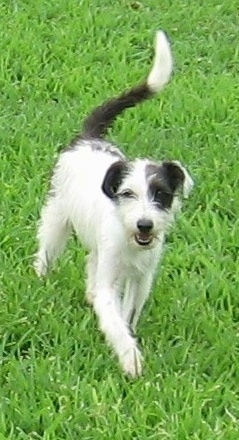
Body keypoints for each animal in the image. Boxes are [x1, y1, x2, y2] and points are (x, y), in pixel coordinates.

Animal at [34, 31, 194, 376]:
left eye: (161, 194)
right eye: (128, 194)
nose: (145, 224)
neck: (129, 238)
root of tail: (88, 139)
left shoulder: (141, 278)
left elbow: (128, 314)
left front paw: (129, 344)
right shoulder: (112, 278)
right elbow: (114, 318)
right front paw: (130, 358)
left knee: (90, 264)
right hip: (56, 217)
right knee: (47, 249)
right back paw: (40, 276)